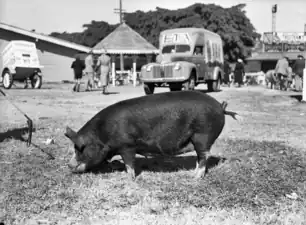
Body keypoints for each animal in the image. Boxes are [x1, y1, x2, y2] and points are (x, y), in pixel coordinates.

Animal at [64, 90, 240, 180]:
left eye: (79, 148)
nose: (69, 165)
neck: (103, 134)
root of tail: (220, 106)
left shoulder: (127, 145)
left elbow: (129, 163)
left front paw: (128, 178)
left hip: (202, 135)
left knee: (204, 156)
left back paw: (195, 177)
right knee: (200, 157)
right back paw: (192, 173)